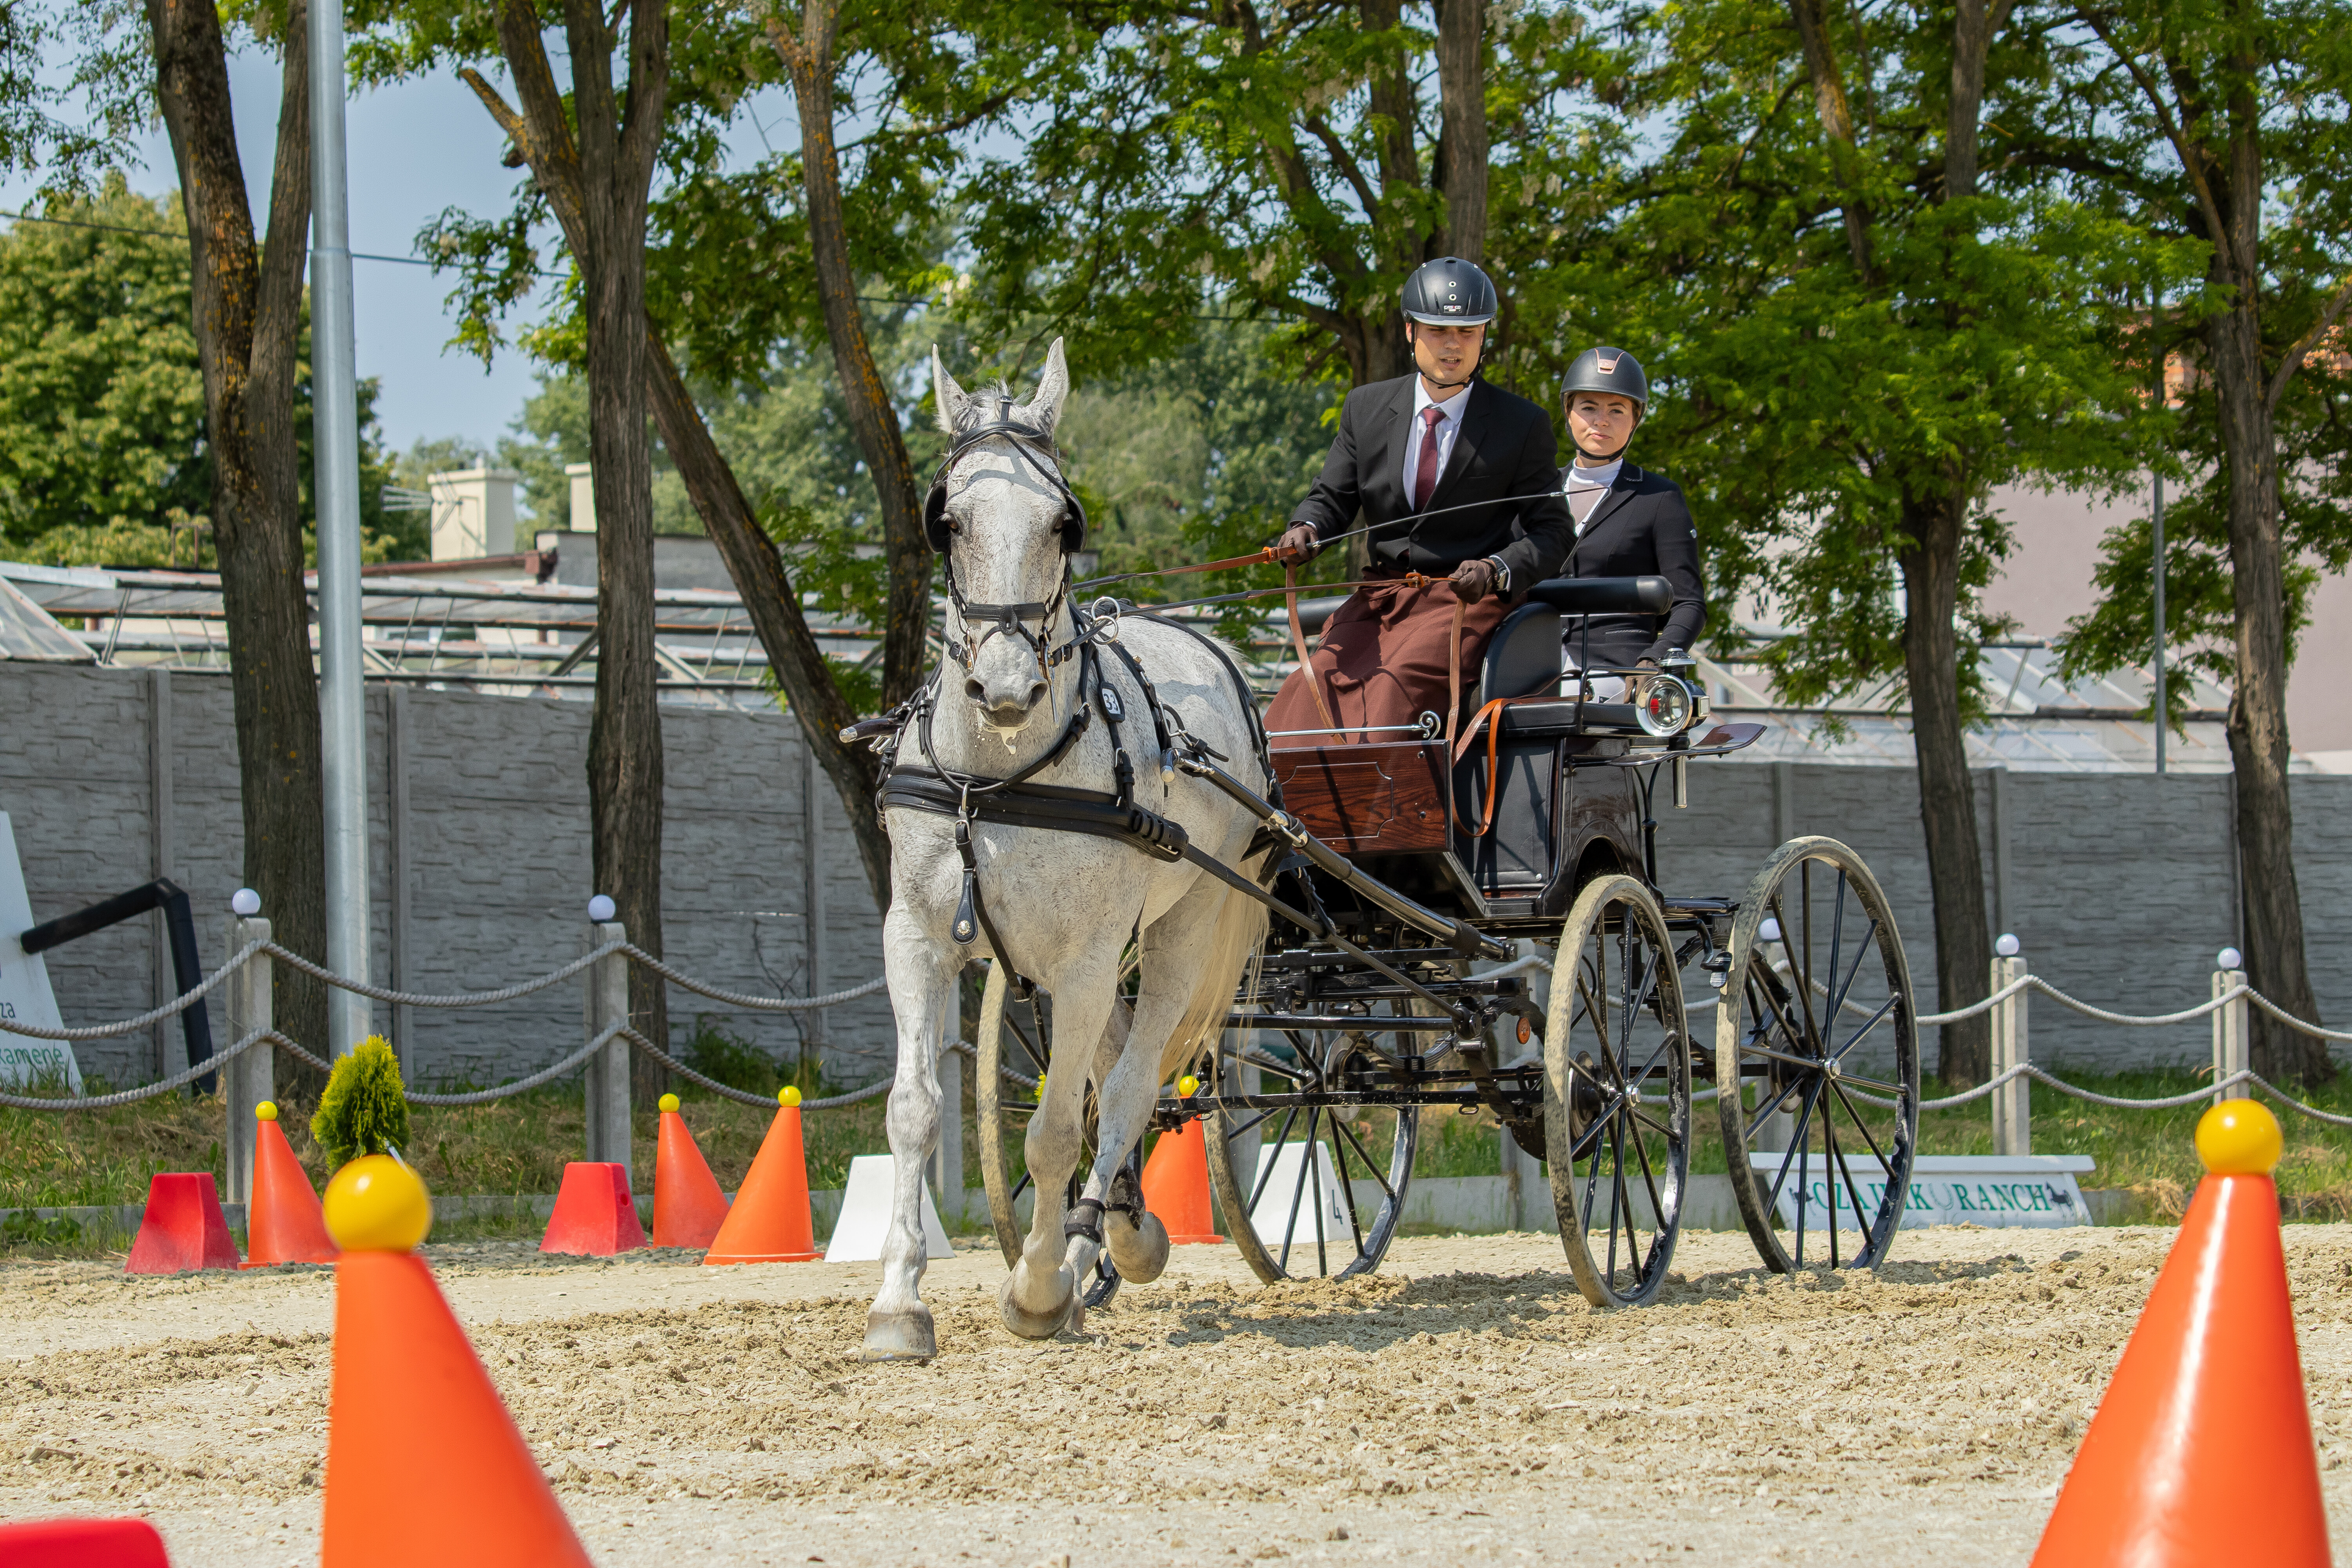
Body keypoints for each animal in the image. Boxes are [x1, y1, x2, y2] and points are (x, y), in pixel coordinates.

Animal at [861, 341, 1270, 1363]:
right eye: (947, 521)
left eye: (1063, 523)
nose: (1005, 686)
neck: (998, 774)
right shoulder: (915, 939)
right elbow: (913, 1108)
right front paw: (898, 1305)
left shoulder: (1086, 960)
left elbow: (1054, 1129)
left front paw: (1038, 1288)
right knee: (1117, 1068)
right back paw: (1116, 1228)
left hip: (1182, 927)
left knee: (1129, 1081)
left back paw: (1092, 1244)